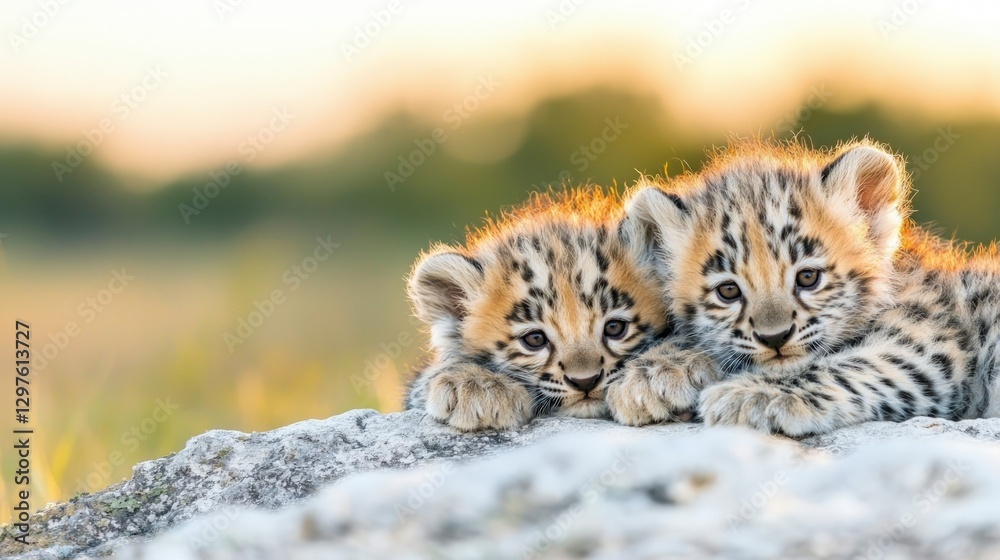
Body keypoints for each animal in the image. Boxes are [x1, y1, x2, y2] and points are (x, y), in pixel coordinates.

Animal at [608, 139, 1000, 435]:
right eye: (728, 291)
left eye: (808, 277)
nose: (775, 337)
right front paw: (653, 374)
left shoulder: (928, 342)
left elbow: (843, 365)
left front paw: (749, 396)